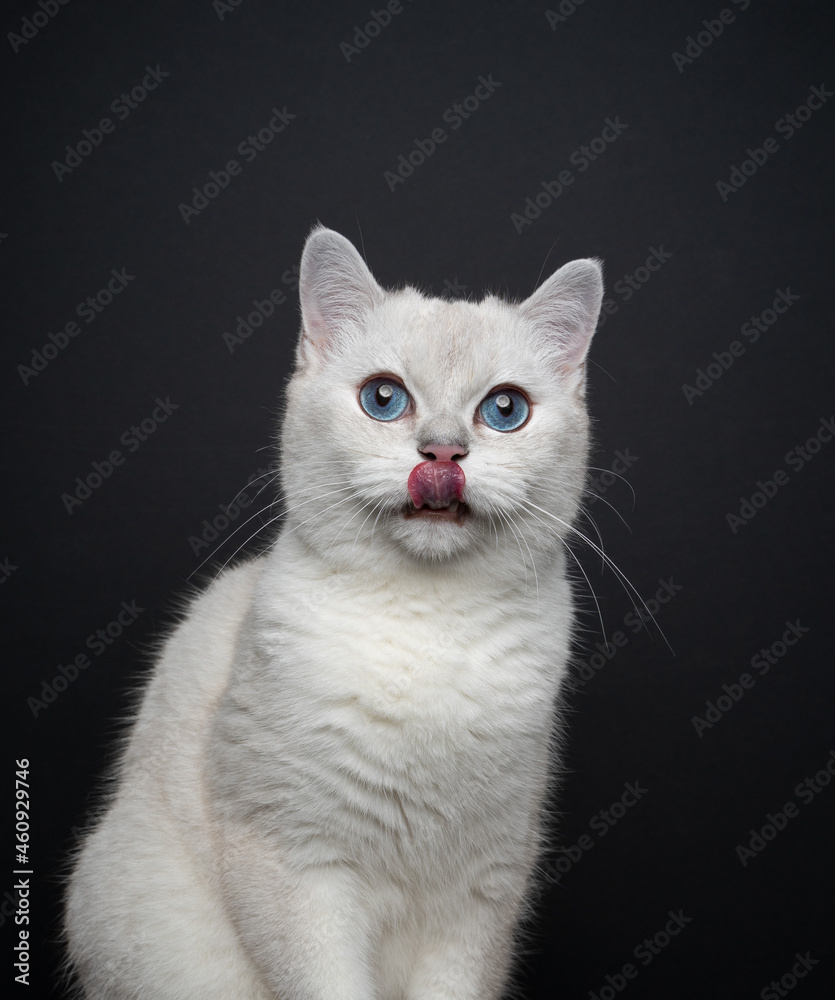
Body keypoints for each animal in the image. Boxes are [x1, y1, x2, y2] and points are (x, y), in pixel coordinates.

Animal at [63, 229, 600, 1000]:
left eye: (505, 411)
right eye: (384, 398)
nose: (442, 452)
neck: (427, 624)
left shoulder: (483, 891)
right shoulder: (293, 864)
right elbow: (326, 982)